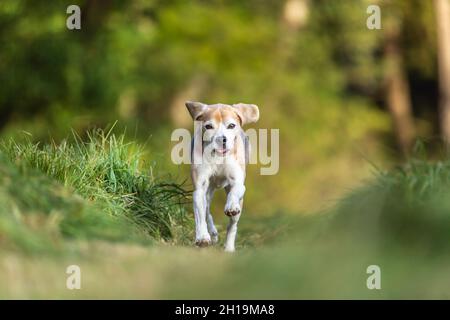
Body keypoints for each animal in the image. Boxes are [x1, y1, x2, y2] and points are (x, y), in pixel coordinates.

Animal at [185, 101, 258, 251]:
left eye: (231, 125)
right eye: (208, 126)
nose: (222, 139)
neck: (218, 157)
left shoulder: (238, 182)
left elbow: (235, 191)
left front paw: (231, 206)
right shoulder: (199, 188)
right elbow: (200, 216)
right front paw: (202, 237)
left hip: (237, 205)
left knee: (232, 225)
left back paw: (229, 248)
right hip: (208, 192)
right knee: (206, 211)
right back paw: (212, 233)